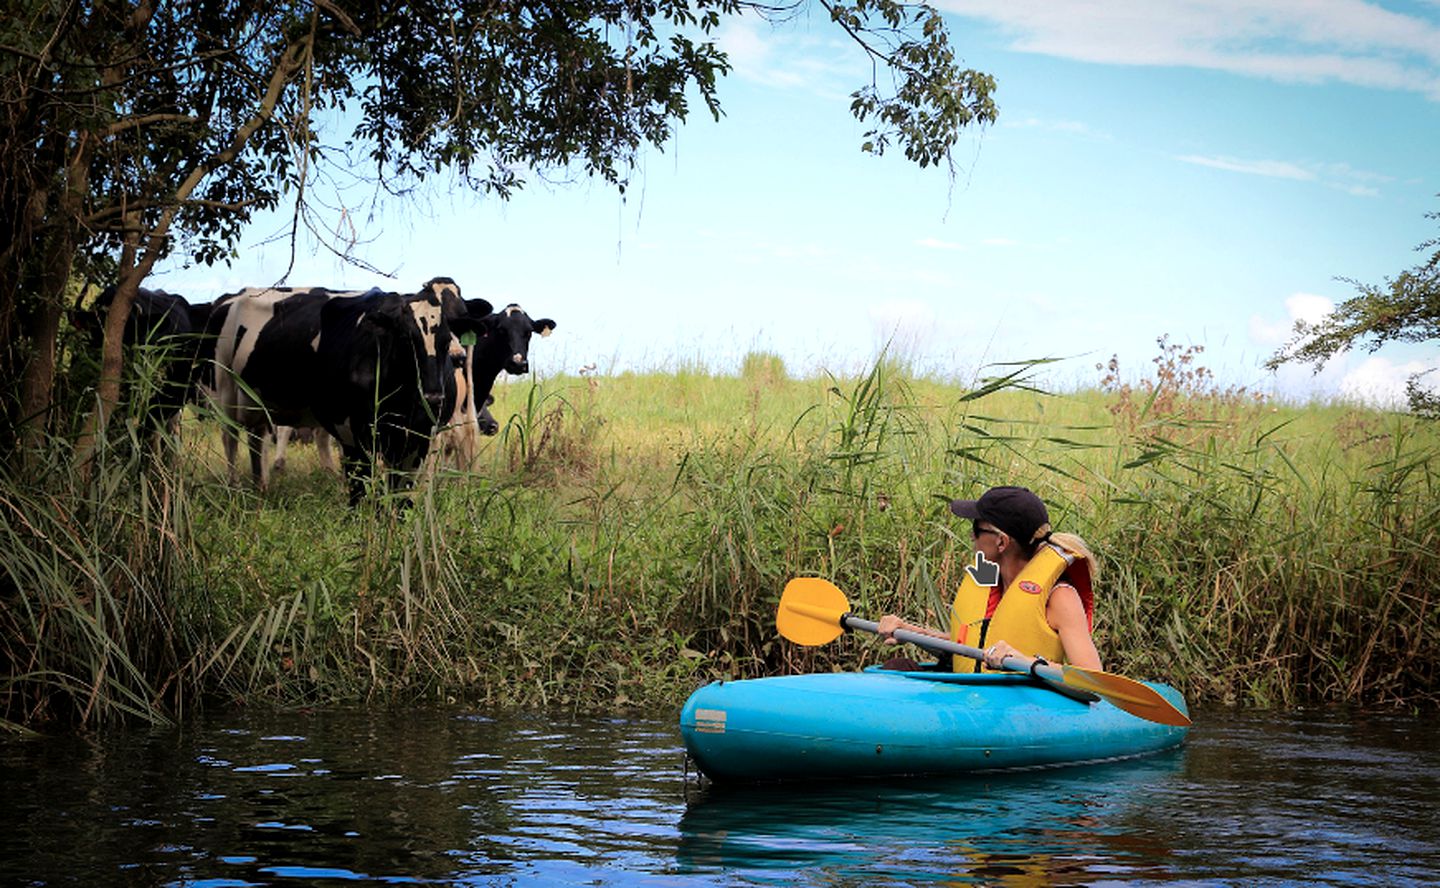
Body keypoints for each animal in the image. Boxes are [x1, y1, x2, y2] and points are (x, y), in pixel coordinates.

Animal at [208, 280, 480, 500]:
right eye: (405, 339)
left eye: (450, 335)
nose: (458, 357)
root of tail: (237, 295)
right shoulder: (351, 429)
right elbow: (359, 483)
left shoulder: (418, 435)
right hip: (226, 387)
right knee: (230, 437)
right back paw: (234, 488)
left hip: (257, 400)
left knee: (257, 438)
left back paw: (261, 487)